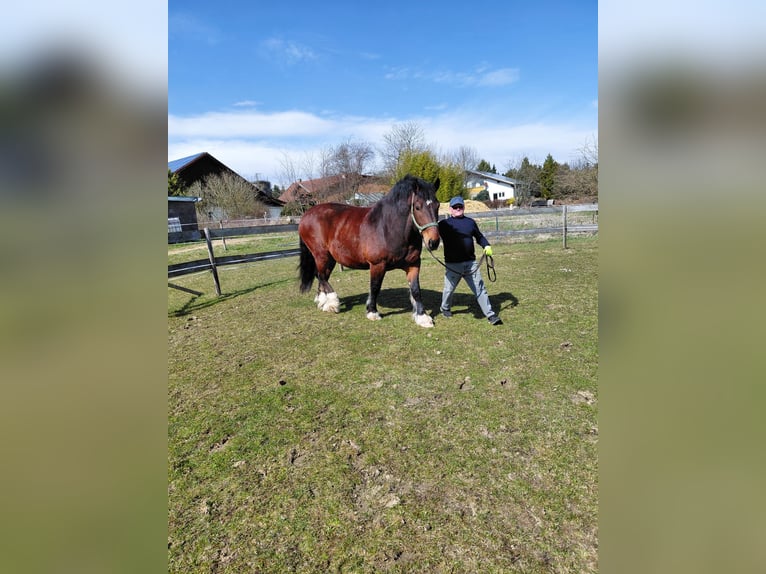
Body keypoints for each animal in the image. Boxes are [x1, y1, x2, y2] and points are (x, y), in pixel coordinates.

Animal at [298, 175, 441, 327]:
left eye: (437, 205)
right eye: (418, 207)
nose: (433, 242)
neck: (389, 228)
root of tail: (306, 214)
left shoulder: (413, 264)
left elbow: (415, 290)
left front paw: (422, 317)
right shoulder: (377, 265)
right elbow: (375, 287)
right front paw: (372, 312)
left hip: (329, 258)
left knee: (322, 276)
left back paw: (323, 302)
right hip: (321, 255)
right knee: (321, 276)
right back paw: (332, 303)